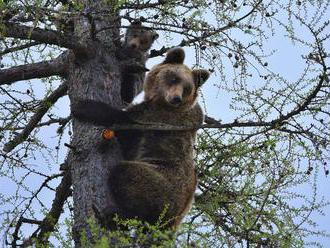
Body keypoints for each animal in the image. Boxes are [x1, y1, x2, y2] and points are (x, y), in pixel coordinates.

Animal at [72, 47, 210, 230]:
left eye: (186, 88)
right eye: (174, 78)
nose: (176, 98)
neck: (159, 101)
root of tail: (174, 220)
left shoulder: (159, 119)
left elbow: (125, 122)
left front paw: (84, 106)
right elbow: (126, 96)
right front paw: (129, 70)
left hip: (163, 183)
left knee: (126, 174)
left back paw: (115, 215)